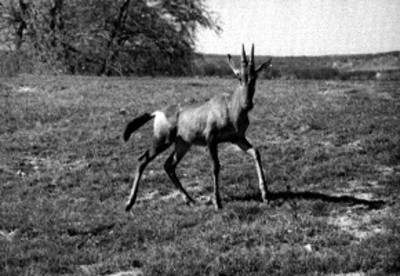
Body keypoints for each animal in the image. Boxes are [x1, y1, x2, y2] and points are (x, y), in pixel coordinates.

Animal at [124, 44, 272, 210]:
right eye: (239, 77)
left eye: (255, 77)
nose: (248, 104)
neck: (229, 106)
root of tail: (157, 112)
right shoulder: (211, 140)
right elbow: (215, 166)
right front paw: (217, 202)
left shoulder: (238, 139)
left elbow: (256, 153)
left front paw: (265, 196)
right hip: (162, 141)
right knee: (142, 160)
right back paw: (129, 203)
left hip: (182, 144)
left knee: (169, 165)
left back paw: (189, 199)